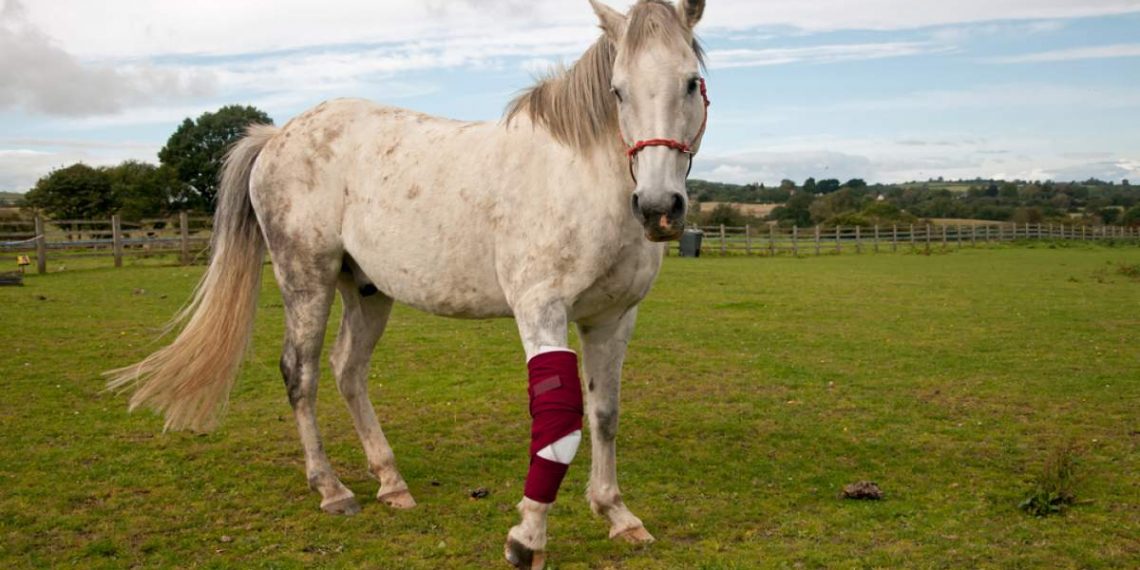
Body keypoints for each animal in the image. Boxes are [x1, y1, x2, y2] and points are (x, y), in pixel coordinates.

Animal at [107, 1, 708, 567]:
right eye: (618, 91)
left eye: (690, 82)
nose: (658, 208)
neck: (580, 177)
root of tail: (279, 135)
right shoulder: (542, 309)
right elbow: (558, 420)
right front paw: (527, 539)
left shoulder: (612, 318)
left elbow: (604, 413)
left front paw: (617, 514)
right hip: (306, 278)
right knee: (300, 373)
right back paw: (332, 489)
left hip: (366, 291)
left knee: (348, 370)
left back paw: (390, 482)